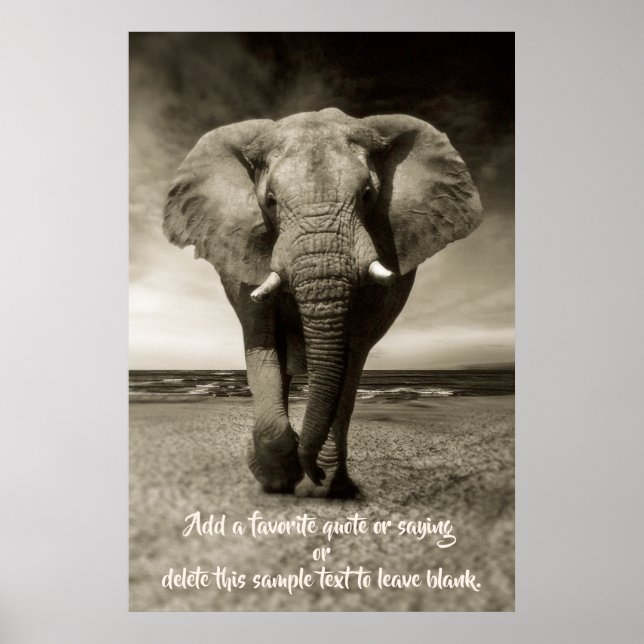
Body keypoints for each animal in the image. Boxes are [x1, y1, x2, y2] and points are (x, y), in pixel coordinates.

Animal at [163, 107, 483, 498]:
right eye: (270, 202)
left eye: (367, 195)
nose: (311, 471)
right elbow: (262, 342)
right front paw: (278, 477)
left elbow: (351, 354)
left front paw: (320, 482)